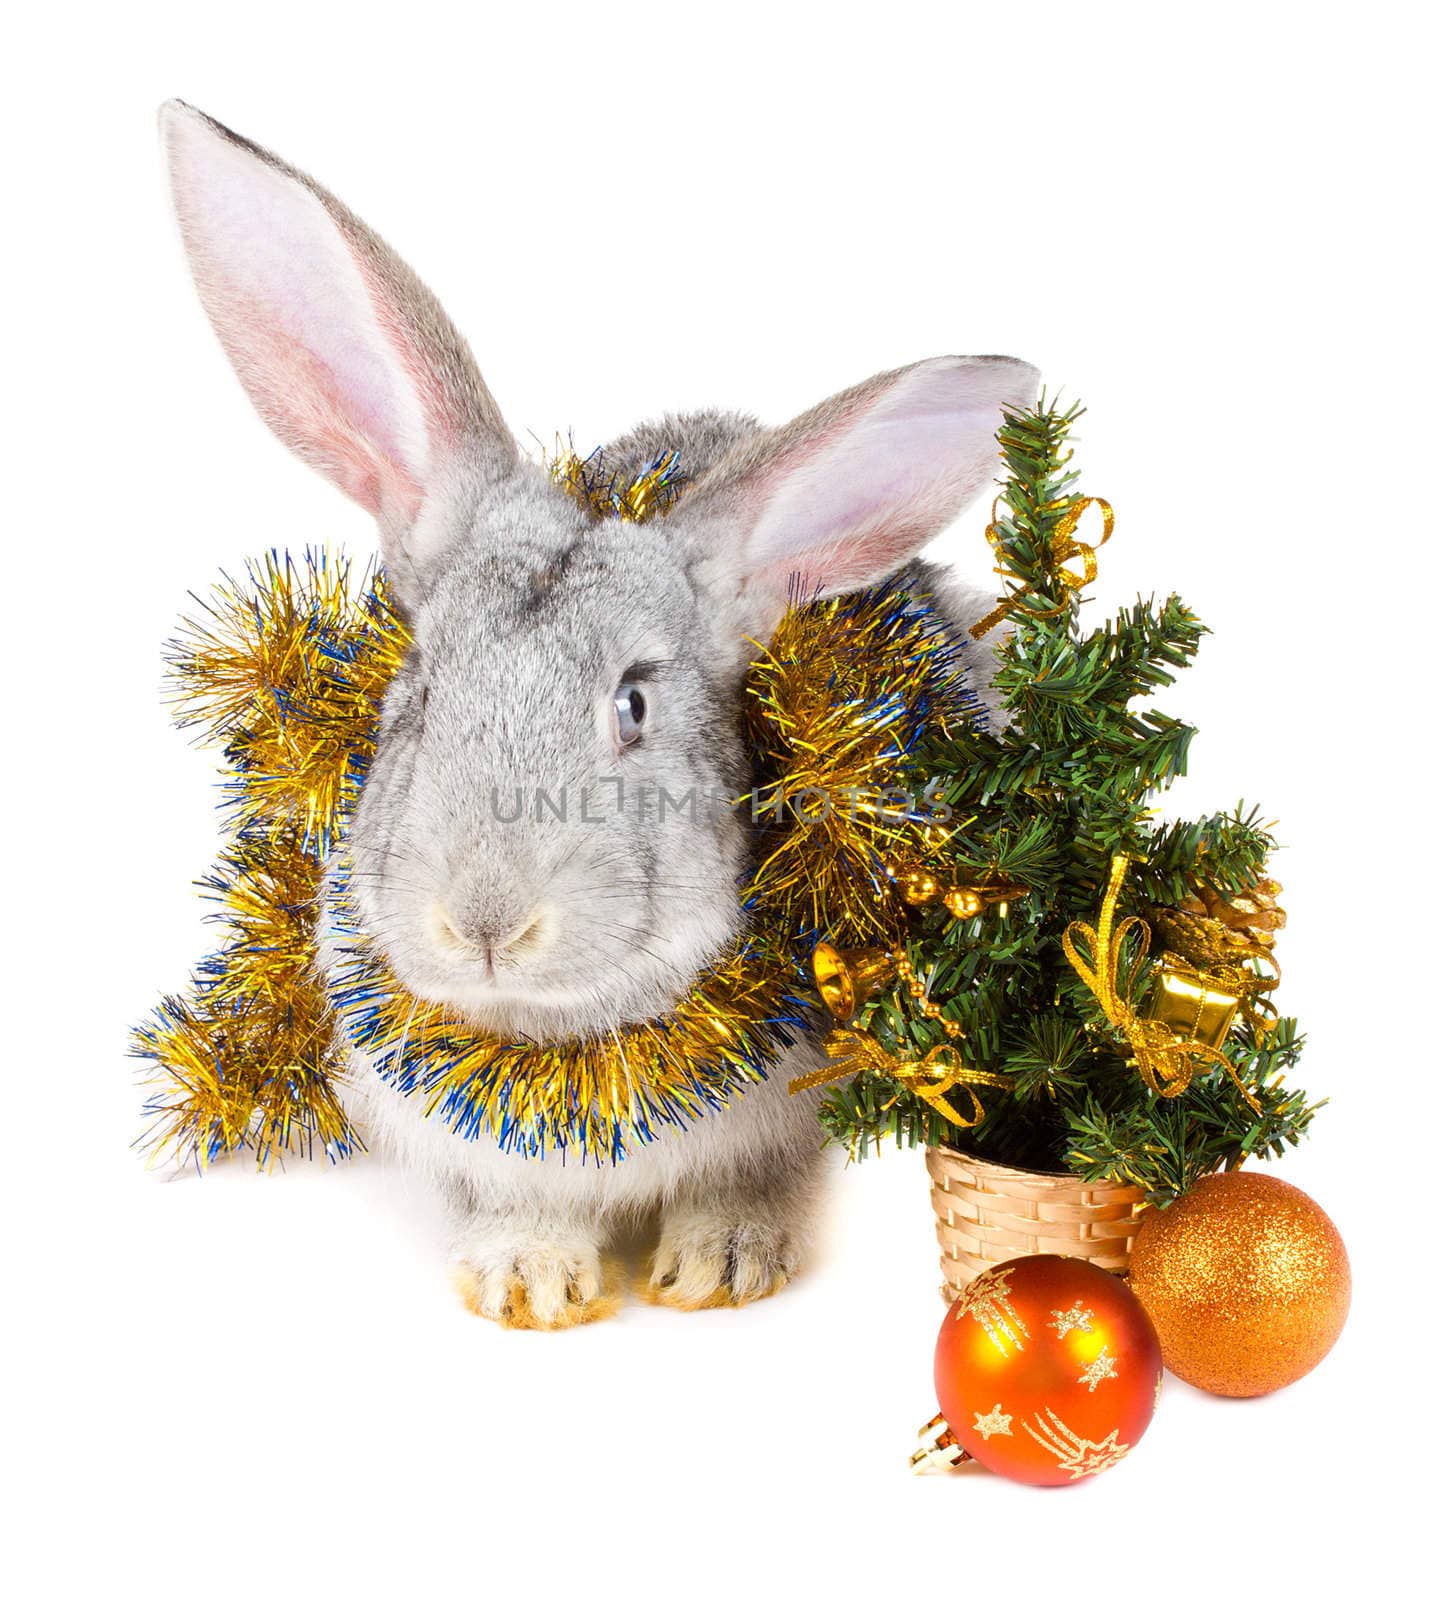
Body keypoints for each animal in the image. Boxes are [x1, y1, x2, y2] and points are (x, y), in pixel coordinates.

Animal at [162, 100, 1036, 1324]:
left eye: (632, 704)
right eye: (419, 687)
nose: (483, 923)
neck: (557, 1030)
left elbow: (754, 1183)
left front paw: (720, 1265)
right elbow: (517, 1208)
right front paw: (526, 1281)